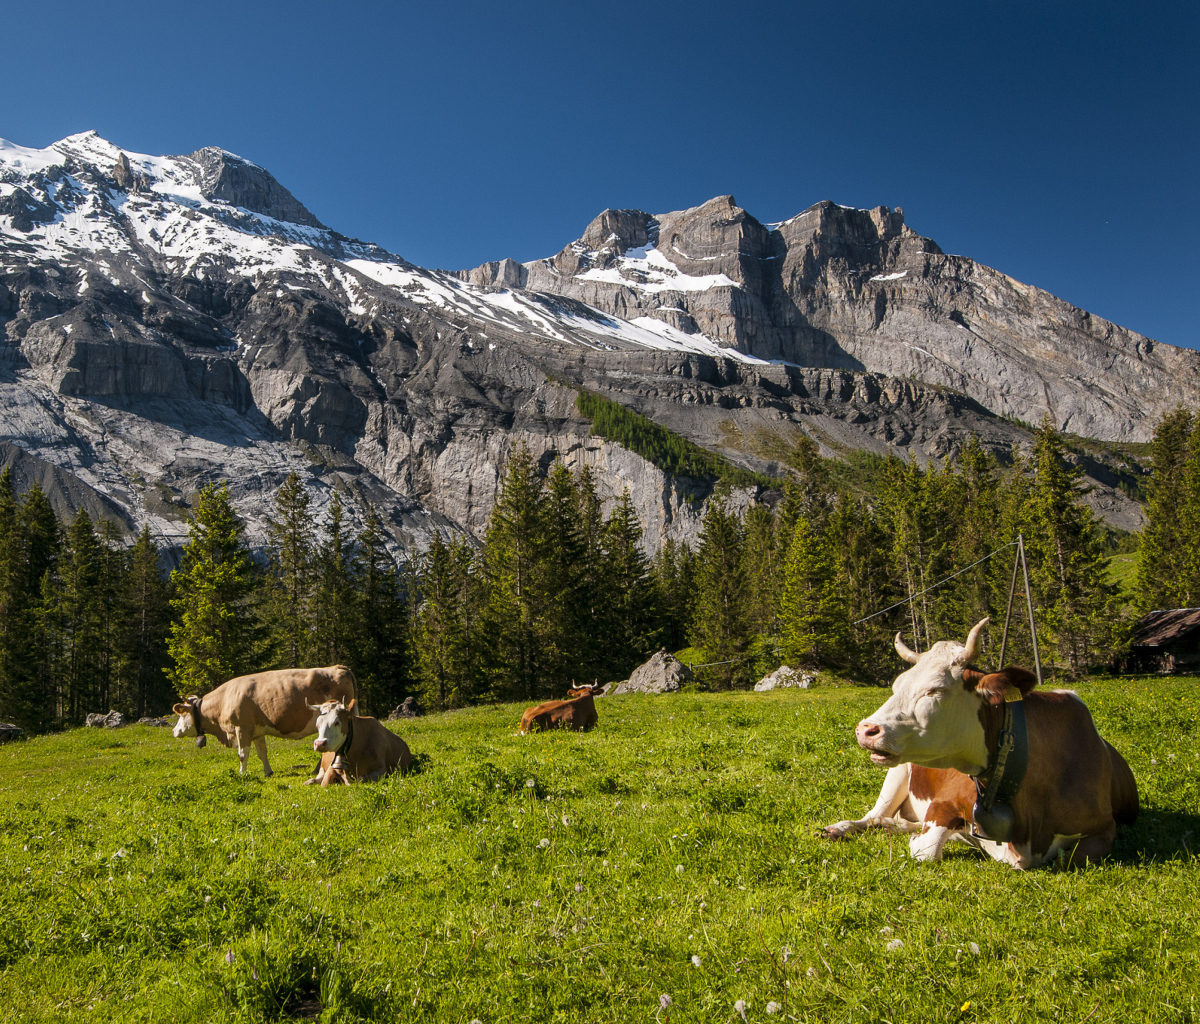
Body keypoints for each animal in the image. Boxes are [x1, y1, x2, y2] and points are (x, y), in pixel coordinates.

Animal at [171, 662, 355, 773]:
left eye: (182, 714)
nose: (174, 730)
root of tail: (338, 667)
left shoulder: (242, 728)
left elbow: (242, 754)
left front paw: (242, 773)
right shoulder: (257, 732)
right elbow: (262, 753)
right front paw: (268, 772)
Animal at [820, 619, 1137, 869]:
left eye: (935, 690)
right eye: (897, 685)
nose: (866, 730)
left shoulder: (1105, 829)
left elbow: (1072, 858)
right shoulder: (945, 802)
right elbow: (926, 849)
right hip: (898, 773)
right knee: (871, 817)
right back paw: (839, 828)